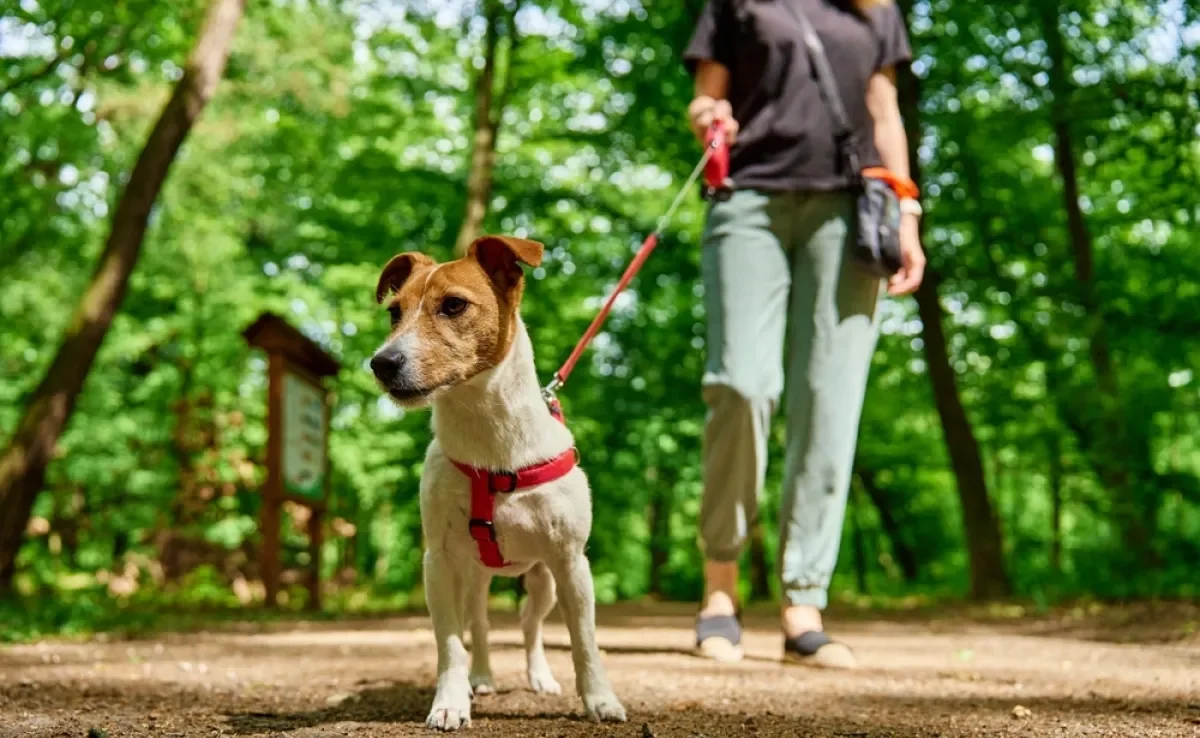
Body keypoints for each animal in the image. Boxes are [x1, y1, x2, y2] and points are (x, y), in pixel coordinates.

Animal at [369, 234, 624, 729]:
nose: (381, 363)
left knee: (530, 624)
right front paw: (450, 702)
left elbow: (585, 641)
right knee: (481, 624)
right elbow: (450, 644)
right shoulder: (439, 563)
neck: (491, 443)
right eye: (394, 312)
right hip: (473, 577)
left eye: (453, 305)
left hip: (545, 581)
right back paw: (482, 677)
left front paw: (600, 699)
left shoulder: (572, 563)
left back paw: (539, 677)